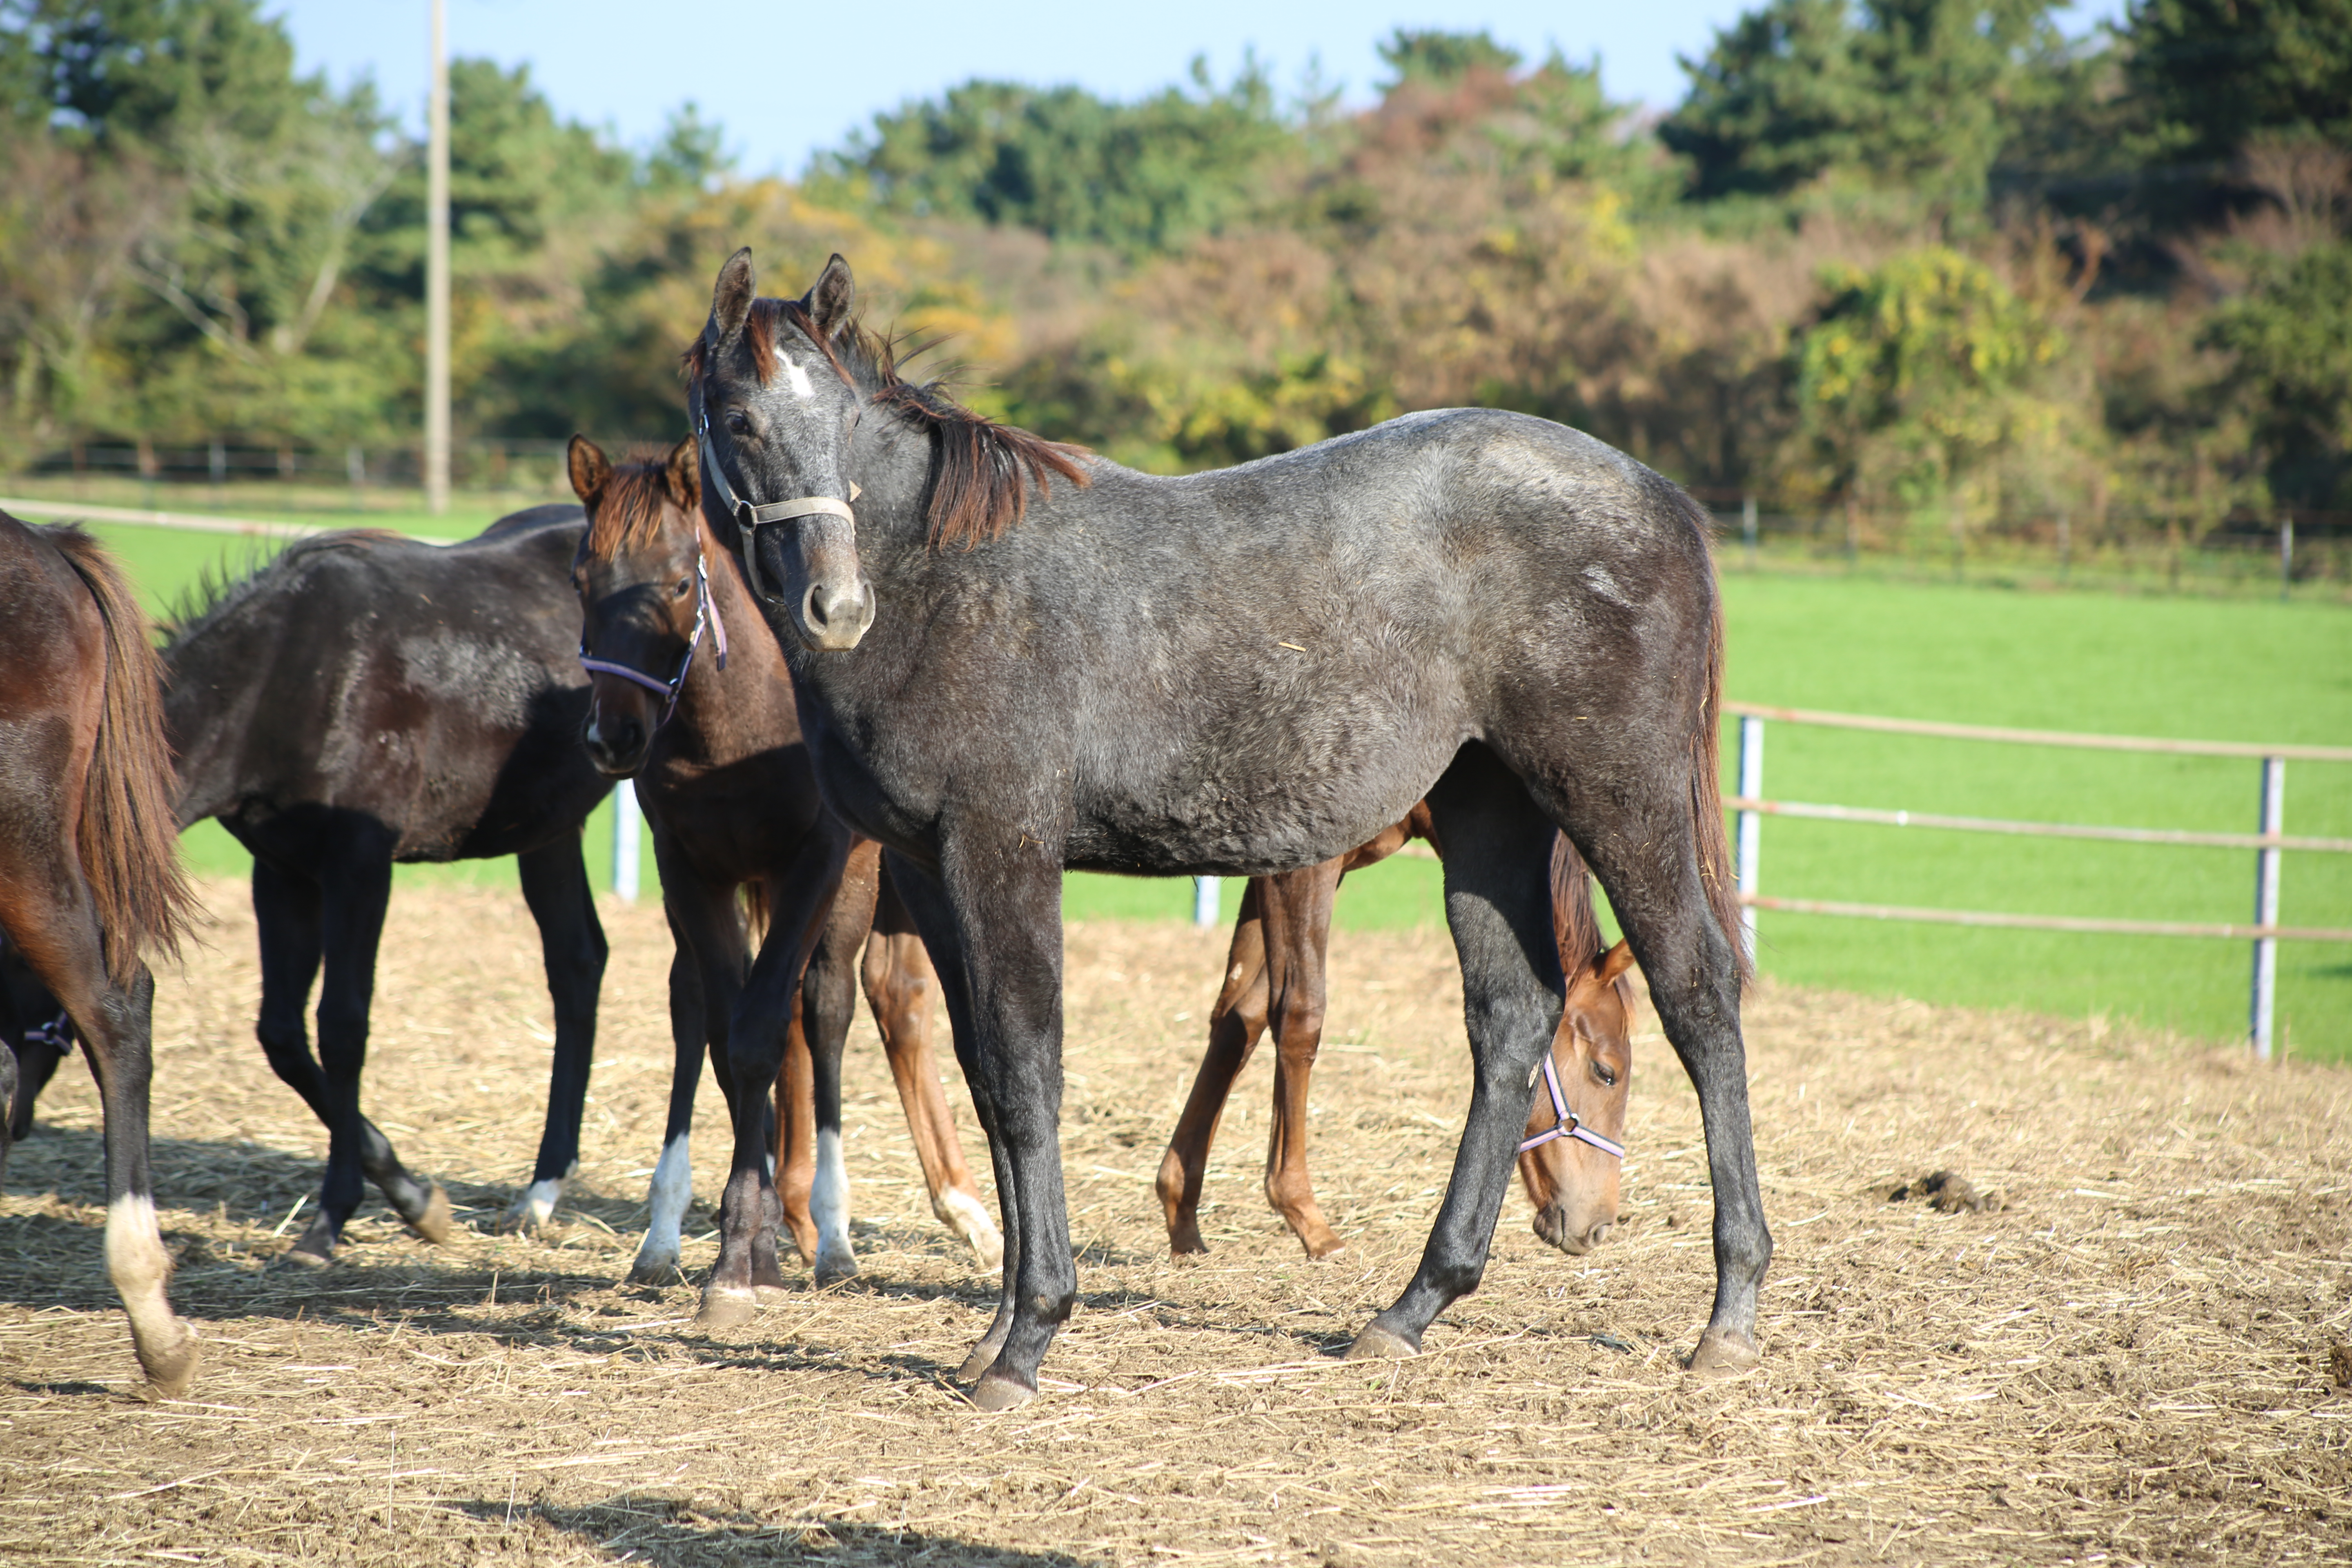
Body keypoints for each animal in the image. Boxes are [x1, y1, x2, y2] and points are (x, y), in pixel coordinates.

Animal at [1157, 808, 1637, 1260]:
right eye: (1606, 1072)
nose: (1600, 1226)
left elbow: (1240, 1016)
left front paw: (1181, 1212)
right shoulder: (1303, 868)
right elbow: (1298, 1016)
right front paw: (1305, 1215)